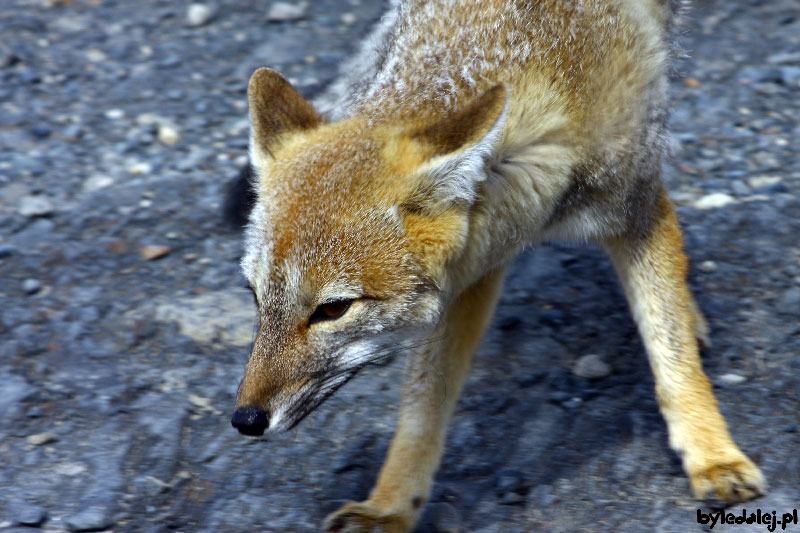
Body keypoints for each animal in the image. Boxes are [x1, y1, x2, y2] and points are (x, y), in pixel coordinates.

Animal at [228, 1, 764, 532]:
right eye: (256, 296)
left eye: (333, 309)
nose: (245, 419)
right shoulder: (469, 277)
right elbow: (424, 406)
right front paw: (392, 504)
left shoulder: (634, 210)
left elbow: (671, 352)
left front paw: (714, 457)